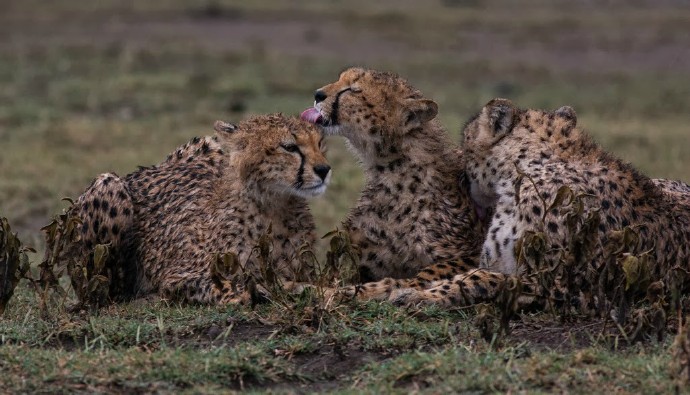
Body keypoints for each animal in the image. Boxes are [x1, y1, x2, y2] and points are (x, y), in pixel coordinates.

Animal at [47, 114, 330, 306]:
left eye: (320, 143)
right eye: (289, 147)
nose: (324, 169)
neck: (273, 206)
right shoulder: (177, 275)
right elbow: (229, 285)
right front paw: (253, 292)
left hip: (207, 144)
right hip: (109, 185)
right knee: (107, 293)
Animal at [298, 67, 482, 300]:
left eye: (353, 90)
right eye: (340, 79)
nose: (317, 94)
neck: (392, 170)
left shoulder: (475, 252)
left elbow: (421, 275)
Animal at [390, 98, 688, 310]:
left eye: (466, 138)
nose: (457, 167)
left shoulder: (566, 289)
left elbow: (484, 280)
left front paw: (421, 297)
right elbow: (458, 276)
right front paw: (406, 288)